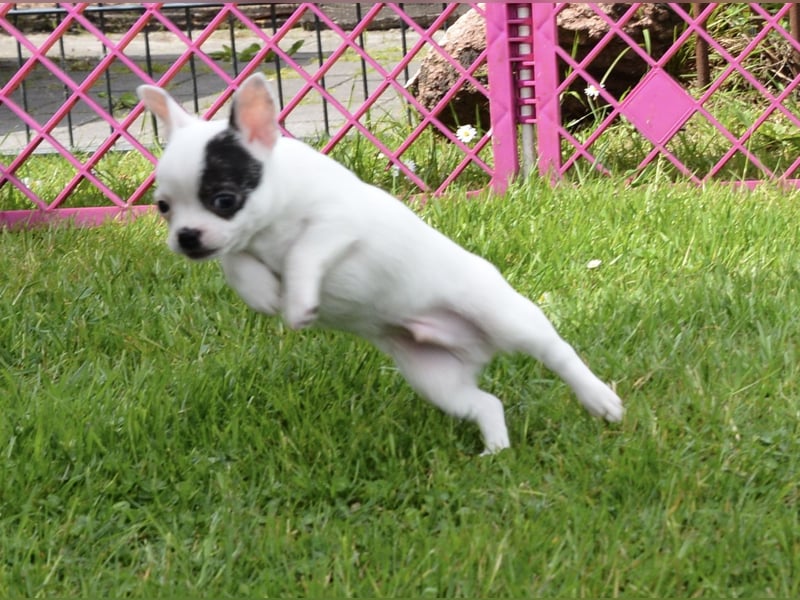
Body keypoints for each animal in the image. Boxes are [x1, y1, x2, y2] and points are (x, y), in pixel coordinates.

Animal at [137, 73, 623, 454]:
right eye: (163, 207)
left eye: (224, 200)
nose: (186, 237)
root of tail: (479, 348)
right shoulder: (239, 245)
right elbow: (237, 264)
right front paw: (263, 294)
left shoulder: (334, 225)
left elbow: (302, 253)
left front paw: (297, 302)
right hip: (435, 379)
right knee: (487, 404)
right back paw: (496, 449)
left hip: (505, 317)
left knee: (558, 352)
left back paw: (600, 400)